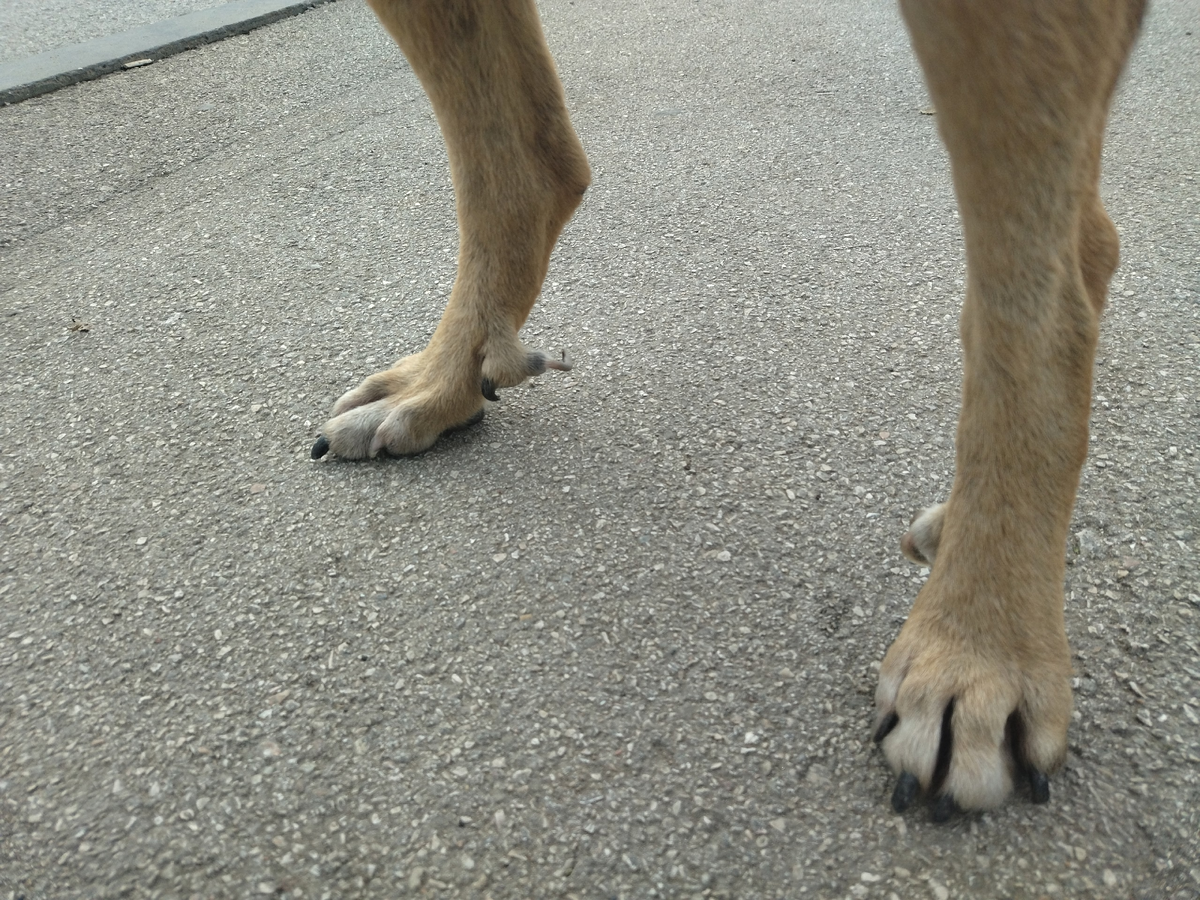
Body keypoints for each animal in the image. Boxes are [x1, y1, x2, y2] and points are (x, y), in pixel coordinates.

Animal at [310, 0, 1148, 820]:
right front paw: (441, 380)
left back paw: (981, 649)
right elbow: (512, 168)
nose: (447, 379)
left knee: (1043, 298)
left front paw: (978, 652)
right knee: (1090, 234)